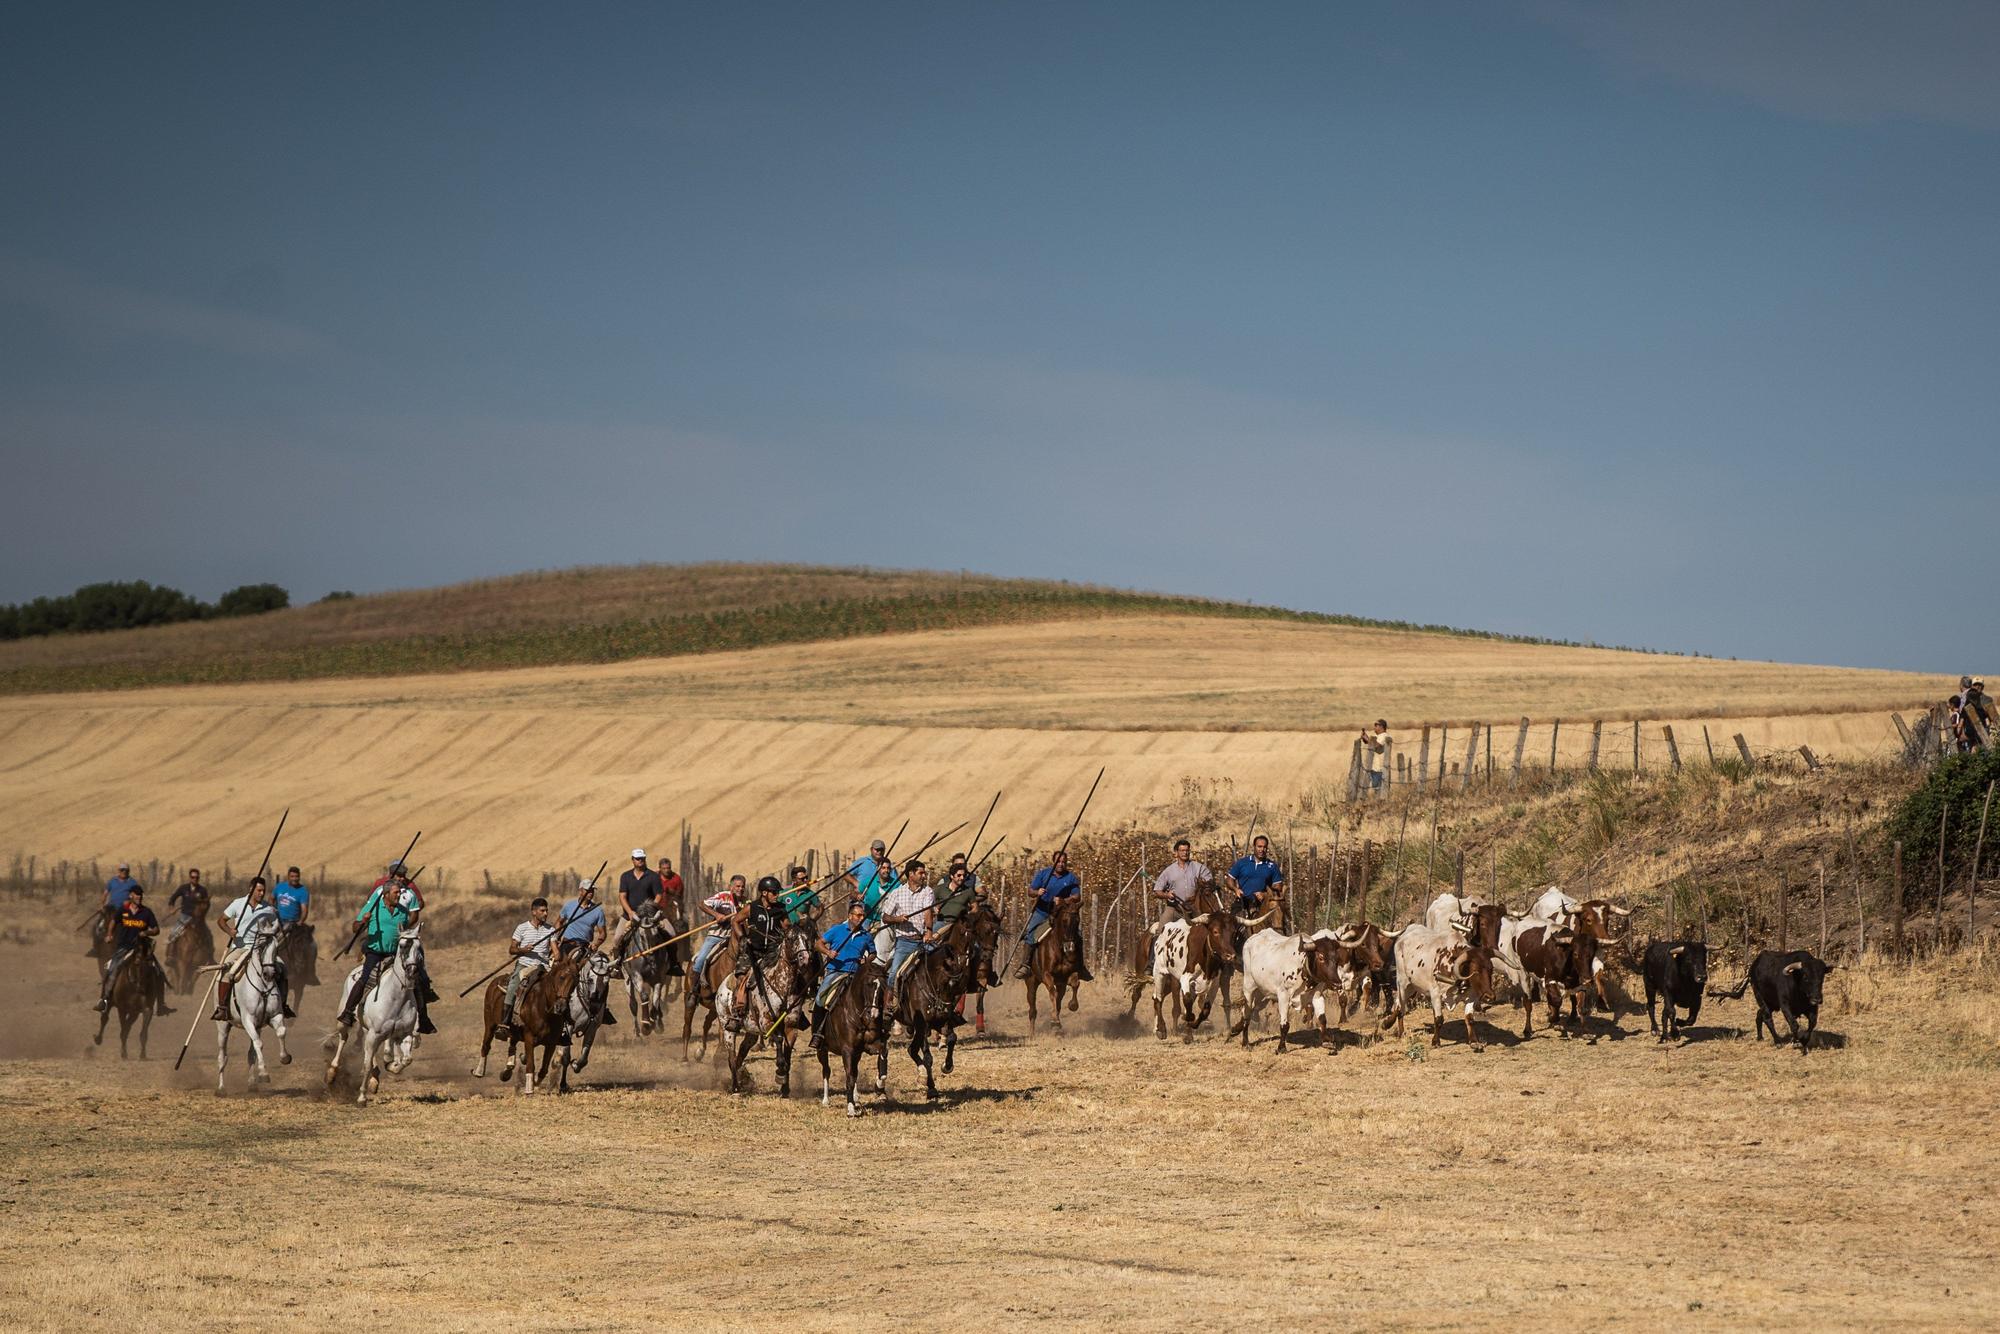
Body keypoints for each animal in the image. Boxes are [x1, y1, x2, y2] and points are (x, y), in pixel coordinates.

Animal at [213, 928, 292, 1096]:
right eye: (260, 947)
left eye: (277, 948)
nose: (269, 974)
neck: (262, 985)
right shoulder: (247, 1020)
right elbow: (259, 1044)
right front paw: (263, 1074)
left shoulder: (275, 1016)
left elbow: (281, 1032)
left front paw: (285, 1058)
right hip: (223, 1027)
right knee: (222, 1056)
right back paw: (221, 1088)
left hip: (257, 1026)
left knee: (251, 1053)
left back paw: (251, 1084)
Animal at [326, 928, 424, 1104]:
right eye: (402, 945)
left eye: (419, 947)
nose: (412, 971)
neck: (396, 996)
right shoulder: (376, 1033)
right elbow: (366, 1065)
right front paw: (362, 1097)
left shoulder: (404, 1033)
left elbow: (406, 1059)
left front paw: (392, 1066)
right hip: (345, 1022)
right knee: (343, 1038)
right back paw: (332, 1072)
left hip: (369, 1031)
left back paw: (375, 1078)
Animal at [472, 948, 584, 1096]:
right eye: (561, 977)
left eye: (576, 981)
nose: (561, 1007)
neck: (543, 1007)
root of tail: (495, 981)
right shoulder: (529, 1037)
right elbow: (530, 1064)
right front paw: (529, 1088)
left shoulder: (552, 1042)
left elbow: (543, 1069)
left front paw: (535, 1081)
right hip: (489, 1024)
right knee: (486, 1045)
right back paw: (479, 1071)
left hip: (514, 1030)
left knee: (512, 1044)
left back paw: (506, 1072)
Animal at [1024, 896, 1088, 1040]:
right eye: (1064, 921)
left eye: (1077, 921)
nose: (1070, 947)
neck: (1059, 948)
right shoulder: (1047, 975)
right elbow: (1052, 993)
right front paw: (1054, 1020)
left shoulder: (1069, 974)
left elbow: (1075, 984)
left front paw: (1072, 1006)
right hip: (1031, 981)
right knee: (1032, 1009)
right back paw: (1032, 1034)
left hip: (1061, 984)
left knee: (1058, 1002)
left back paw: (1057, 1027)